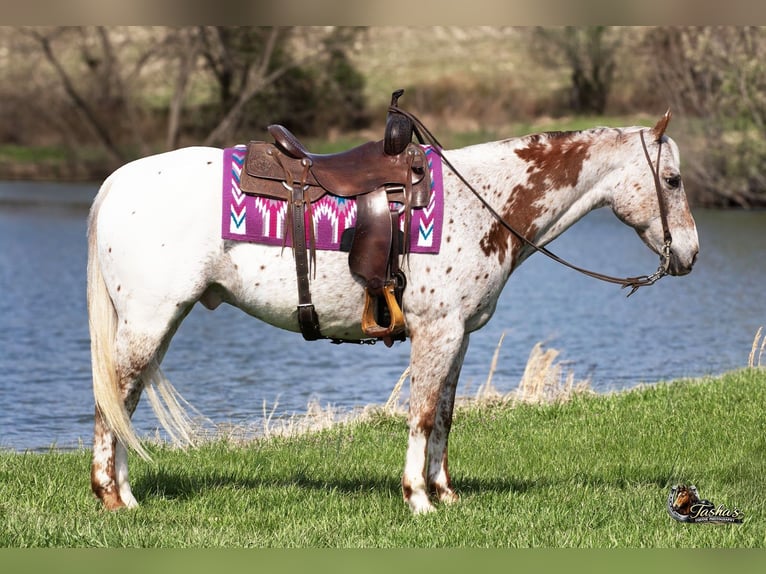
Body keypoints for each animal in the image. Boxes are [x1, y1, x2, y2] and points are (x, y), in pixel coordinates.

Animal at [87, 112, 698, 514]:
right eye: (672, 180)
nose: (690, 255)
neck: (484, 203)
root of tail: (116, 182)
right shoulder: (437, 332)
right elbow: (422, 414)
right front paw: (418, 499)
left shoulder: (459, 336)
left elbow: (446, 415)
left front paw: (446, 493)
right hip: (149, 322)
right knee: (114, 400)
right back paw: (110, 497)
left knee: (126, 403)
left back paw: (128, 496)